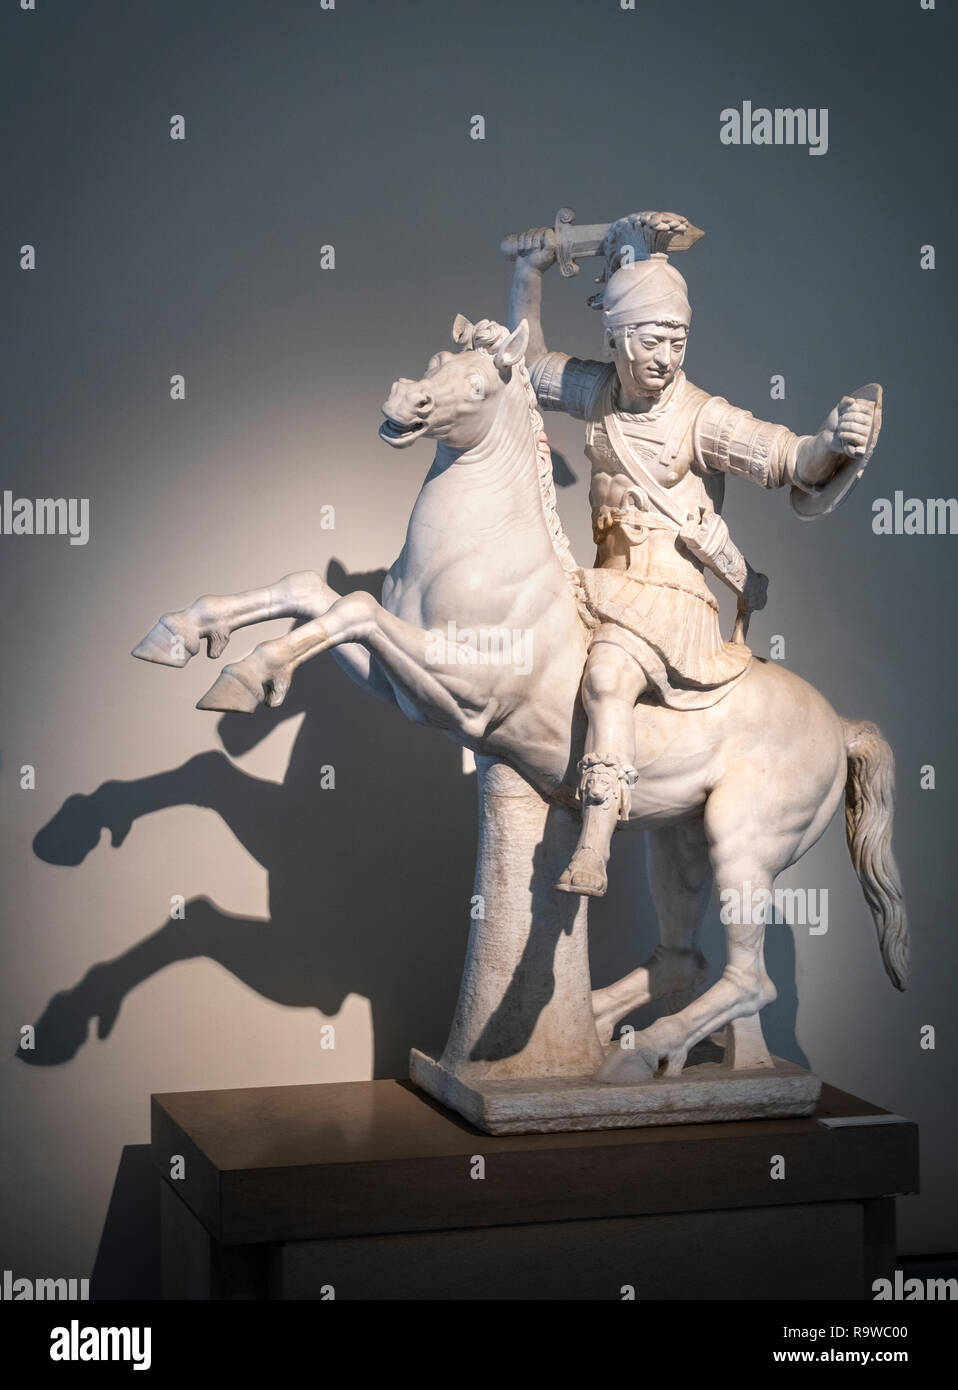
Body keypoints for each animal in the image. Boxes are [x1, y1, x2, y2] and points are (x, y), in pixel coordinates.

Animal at [132, 318, 906, 1084]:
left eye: (477, 384)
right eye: (435, 360)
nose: (404, 402)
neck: (482, 561)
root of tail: (841, 726)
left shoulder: (464, 695)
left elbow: (351, 607)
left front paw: (245, 676)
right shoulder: (397, 684)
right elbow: (309, 592)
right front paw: (182, 637)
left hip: (742, 843)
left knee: (751, 980)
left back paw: (638, 1049)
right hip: (679, 842)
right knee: (684, 962)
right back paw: (622, 1041)